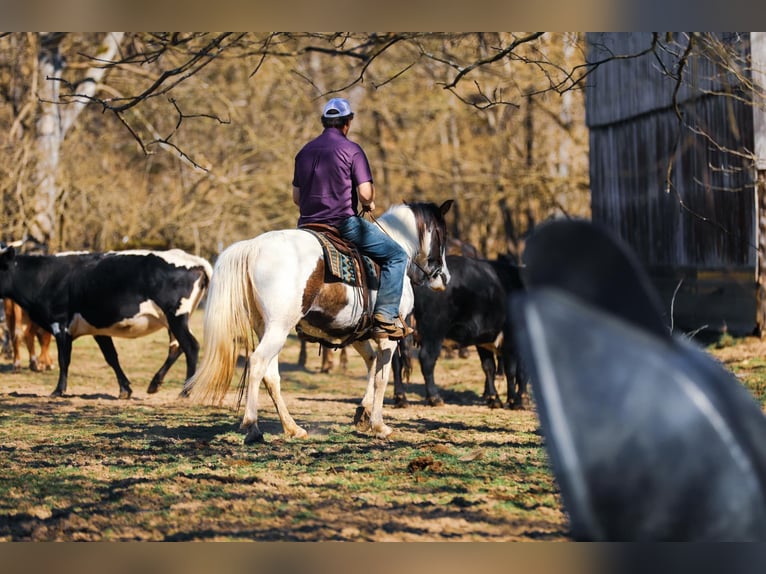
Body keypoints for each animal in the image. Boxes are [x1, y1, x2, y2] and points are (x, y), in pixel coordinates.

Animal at [183, 200, 453, 444]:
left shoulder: (358, 334)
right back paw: (253, 427)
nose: (444, 278)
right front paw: (378, 424)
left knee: (271, 376)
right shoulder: (387, 336)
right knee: (258, 364)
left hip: (266, 329)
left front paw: (363, 414)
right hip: (279, 329)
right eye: (442, 235)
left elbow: (371, 363)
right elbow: (381, 376)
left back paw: (293, 428)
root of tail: (254, 246)